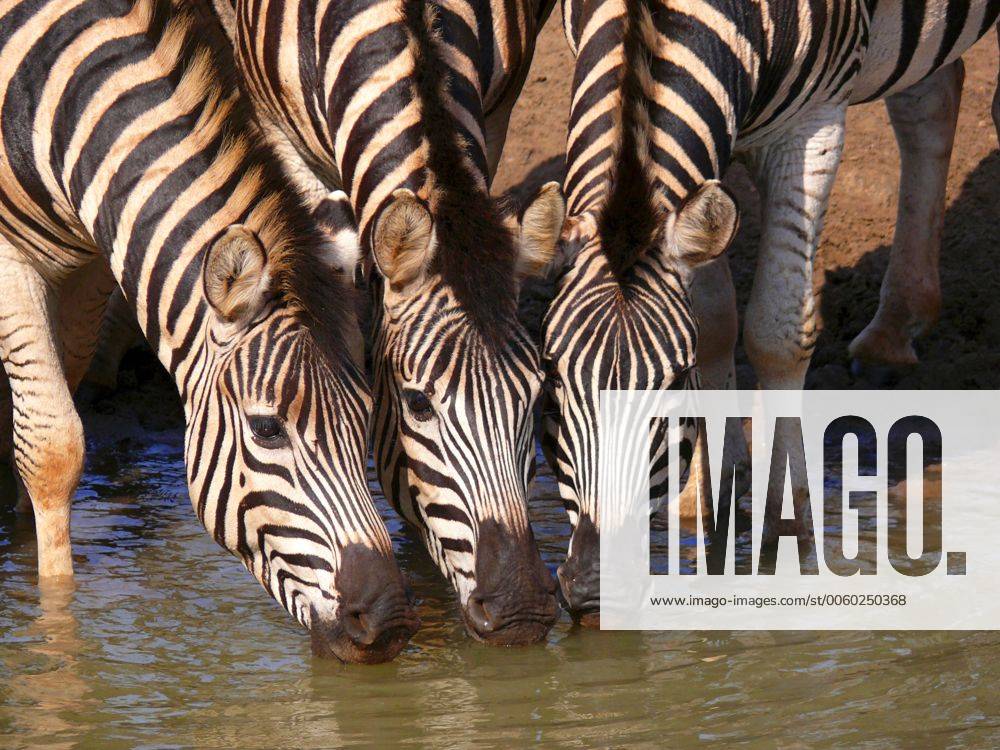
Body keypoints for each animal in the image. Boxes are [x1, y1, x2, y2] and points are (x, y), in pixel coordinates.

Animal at [0, 0, 419, 663]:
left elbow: (56, 388)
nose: (390, 622)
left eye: (368, 414)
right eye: (268, 429)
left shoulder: (91, 255)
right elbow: (55, 445)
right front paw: (58, 626)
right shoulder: (9, 258)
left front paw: (23, 528)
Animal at [542, 0, 1000, 621]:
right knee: (929, 98)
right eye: (550, 381)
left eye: (674, 382)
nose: (593, 591)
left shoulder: (813, 124)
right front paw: (705, 500)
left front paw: (788, 532)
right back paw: (893, 330)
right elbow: (714, 320)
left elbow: (775, 333)